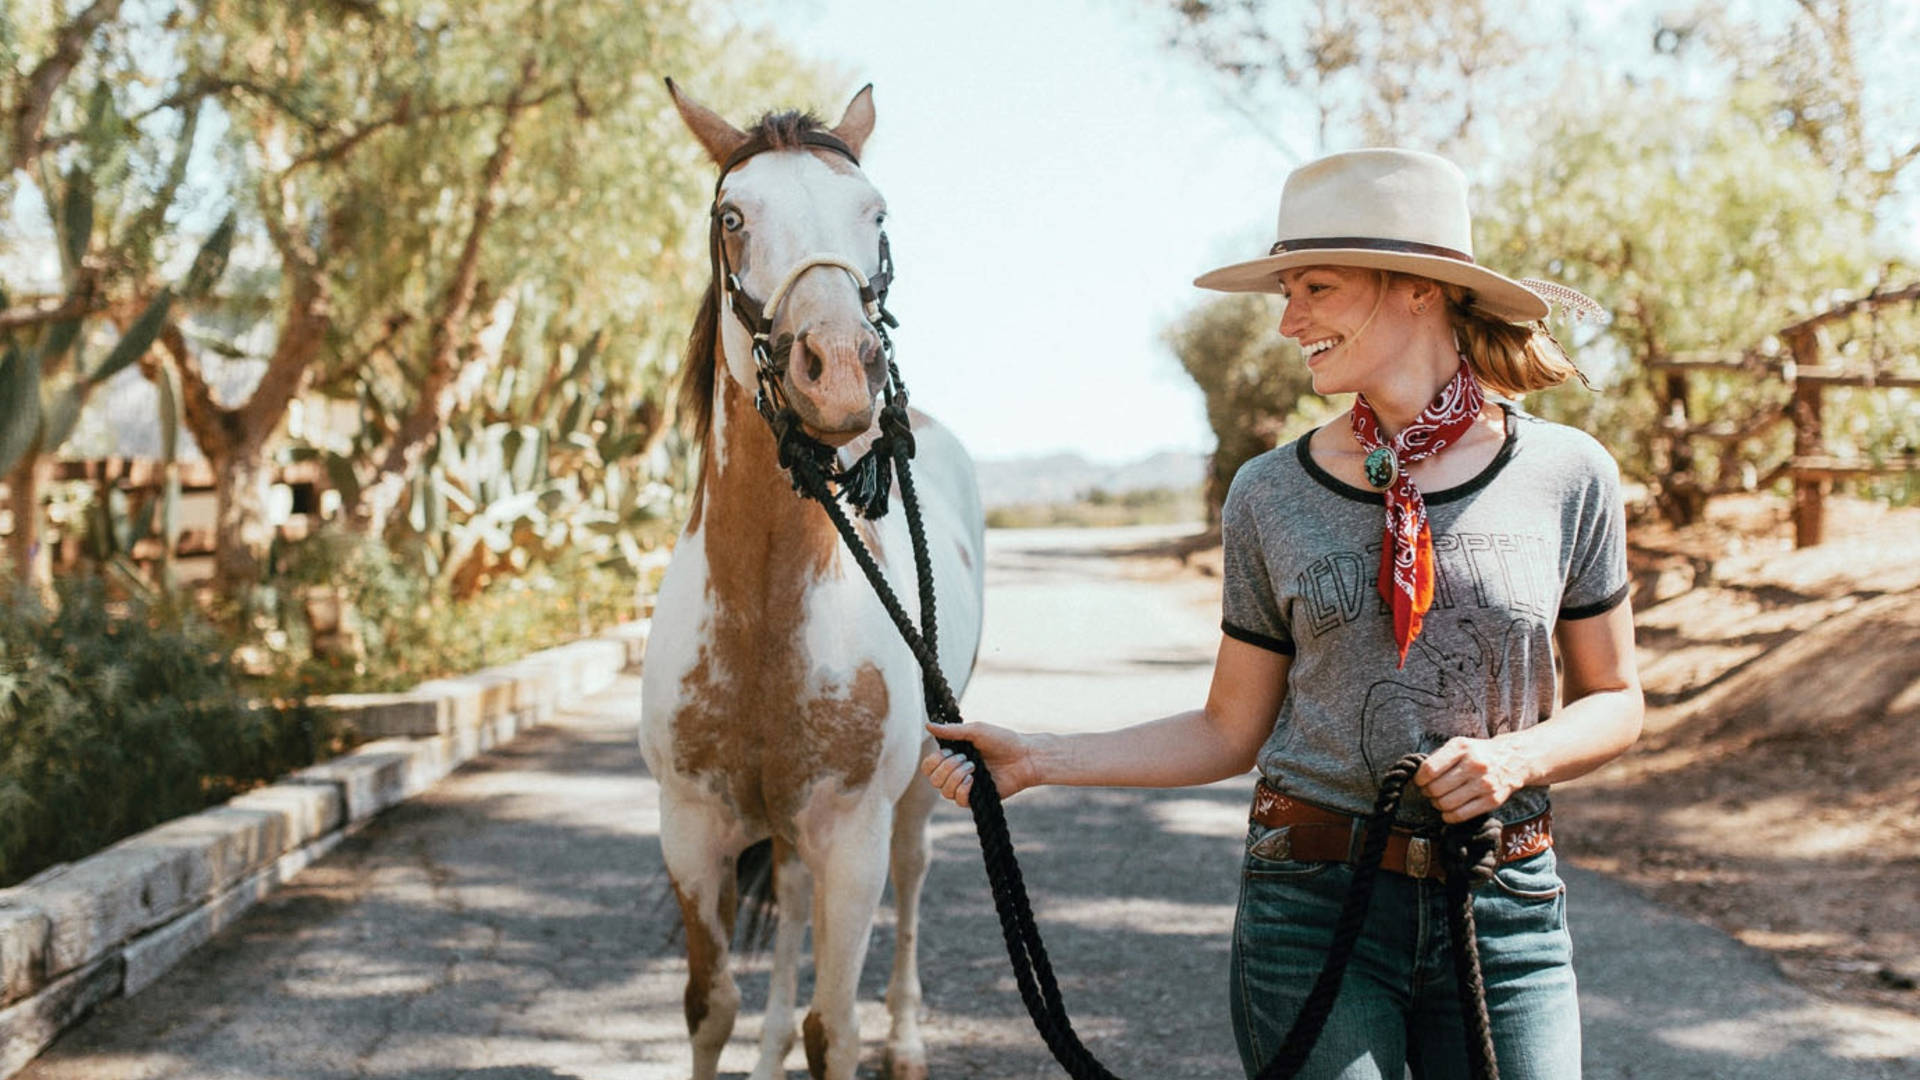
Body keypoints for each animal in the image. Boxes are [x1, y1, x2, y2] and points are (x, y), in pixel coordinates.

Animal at [645, 84, 990, 1076]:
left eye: (875, 214)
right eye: (732, 216)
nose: (840, 370)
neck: (763, 612)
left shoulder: (851, 839)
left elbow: (832, 1027)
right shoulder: (692, 830)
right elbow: (710, 1007)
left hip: (918, 788)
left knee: (913, 880)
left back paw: (907, 1039)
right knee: (792, 909)